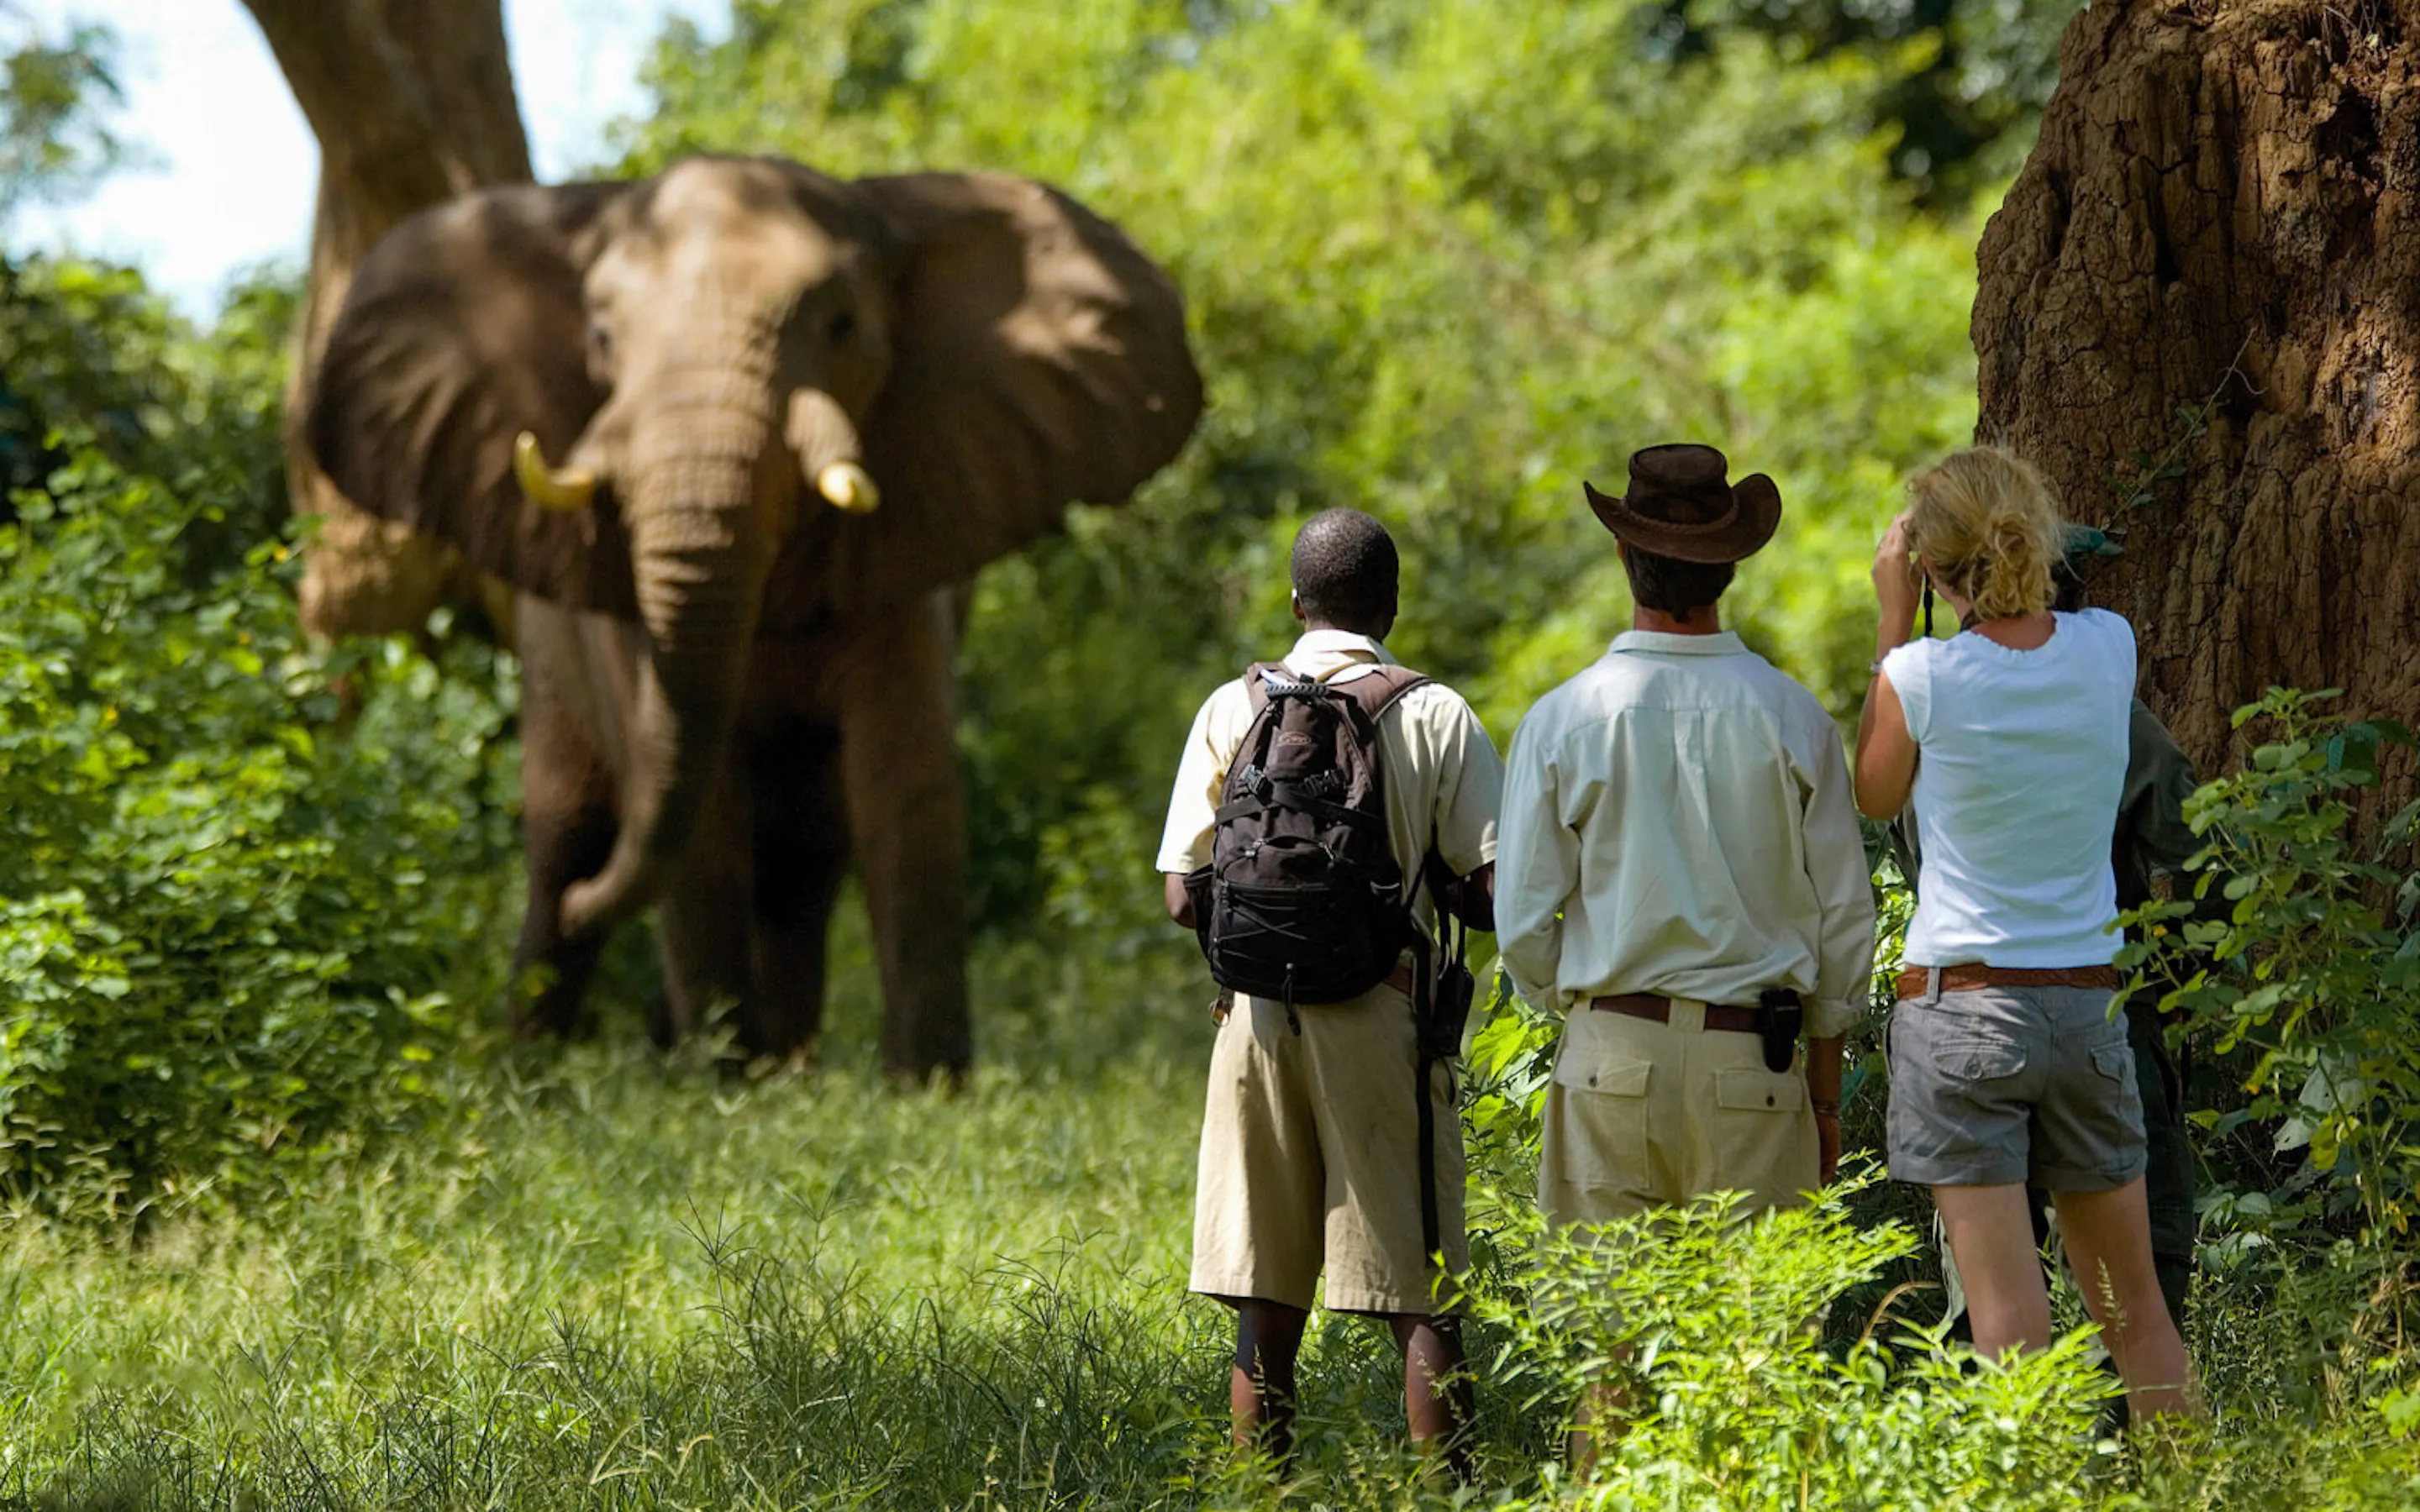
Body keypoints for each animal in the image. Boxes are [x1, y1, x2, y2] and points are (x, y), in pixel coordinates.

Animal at [297, 156, 1203, 1079]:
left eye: (841, 326)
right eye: (602, 341)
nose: (597, 905)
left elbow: (906, 789)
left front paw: (923, 1085)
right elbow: (697, 814)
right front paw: (722, 1081)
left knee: (800, 866)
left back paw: (780, 1061)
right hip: (550, 660)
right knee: (565, 840)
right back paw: (551, 1064)